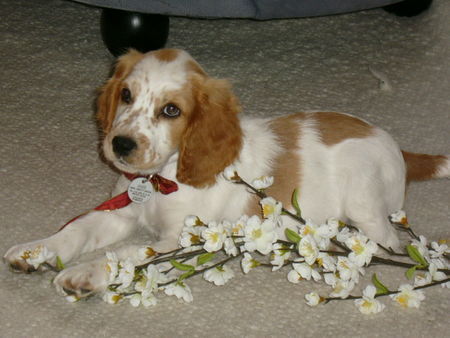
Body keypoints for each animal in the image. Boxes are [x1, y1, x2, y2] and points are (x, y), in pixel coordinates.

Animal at [3, 48, 450, 298]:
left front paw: (85, 273)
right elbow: (76, 229)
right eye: (126, 95)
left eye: (171, 110)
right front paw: (34, 250)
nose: (121, 145)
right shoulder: (122, 211)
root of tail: (398, 148)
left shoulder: (182, 239)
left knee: (386, 240)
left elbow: (129, 255)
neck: (163, 177)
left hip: (364, 206)